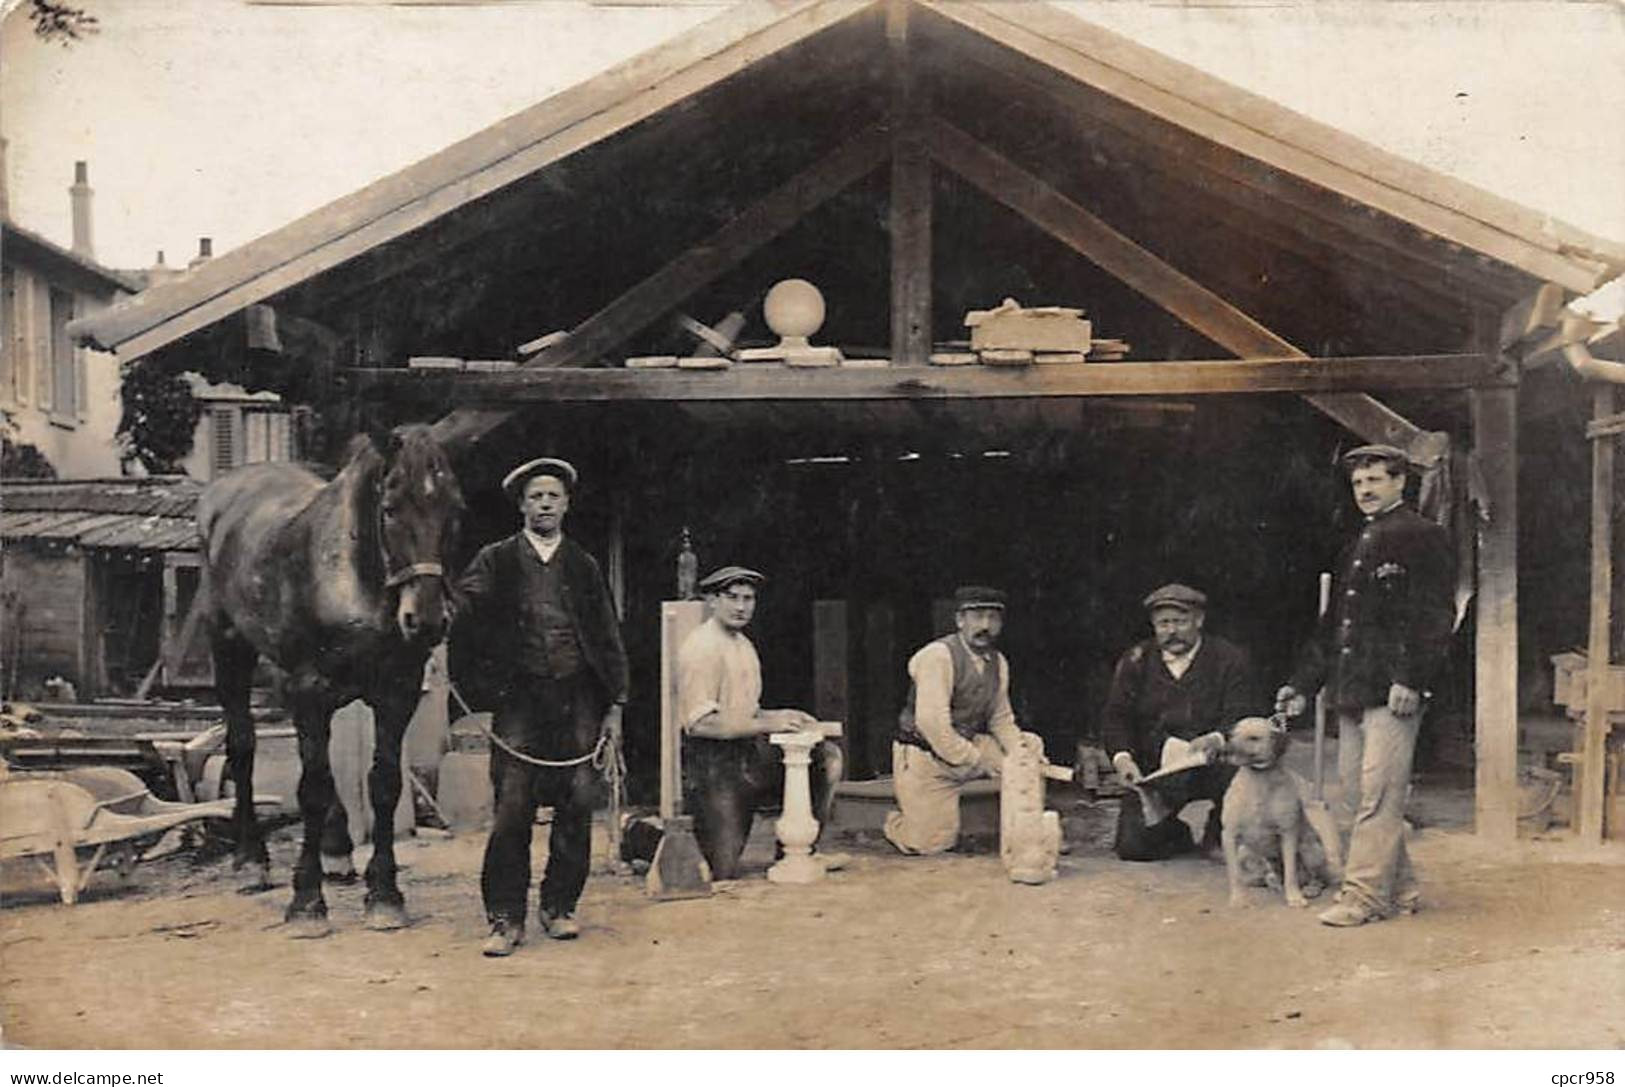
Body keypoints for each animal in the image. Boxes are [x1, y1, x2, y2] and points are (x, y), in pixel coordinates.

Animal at [199, 422, 464, 935]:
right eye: (390, 507)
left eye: (454, 508)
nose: (426, 621)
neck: (350, 579)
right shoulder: (308, 691)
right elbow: (312, 788)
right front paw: (306, 902)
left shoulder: (395, 694)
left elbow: (383, 784)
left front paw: (384, 895)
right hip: (230, 651)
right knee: (242, 745)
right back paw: (252, 860)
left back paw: (337, 853)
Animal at [1222, 711, 1332, 909]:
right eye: (1232, 735)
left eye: (1254, 738)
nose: (1226, 750)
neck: (1258, 778)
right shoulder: (1229, 834)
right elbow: (1234, 874)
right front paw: (1238, 898)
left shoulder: (1288, 833)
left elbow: (1290, 872)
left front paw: (1294, 897)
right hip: (1245, 852)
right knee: (1267, 874)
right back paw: (1272, 881)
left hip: (1311, 849)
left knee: (1315, 877)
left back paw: (1310, 888)